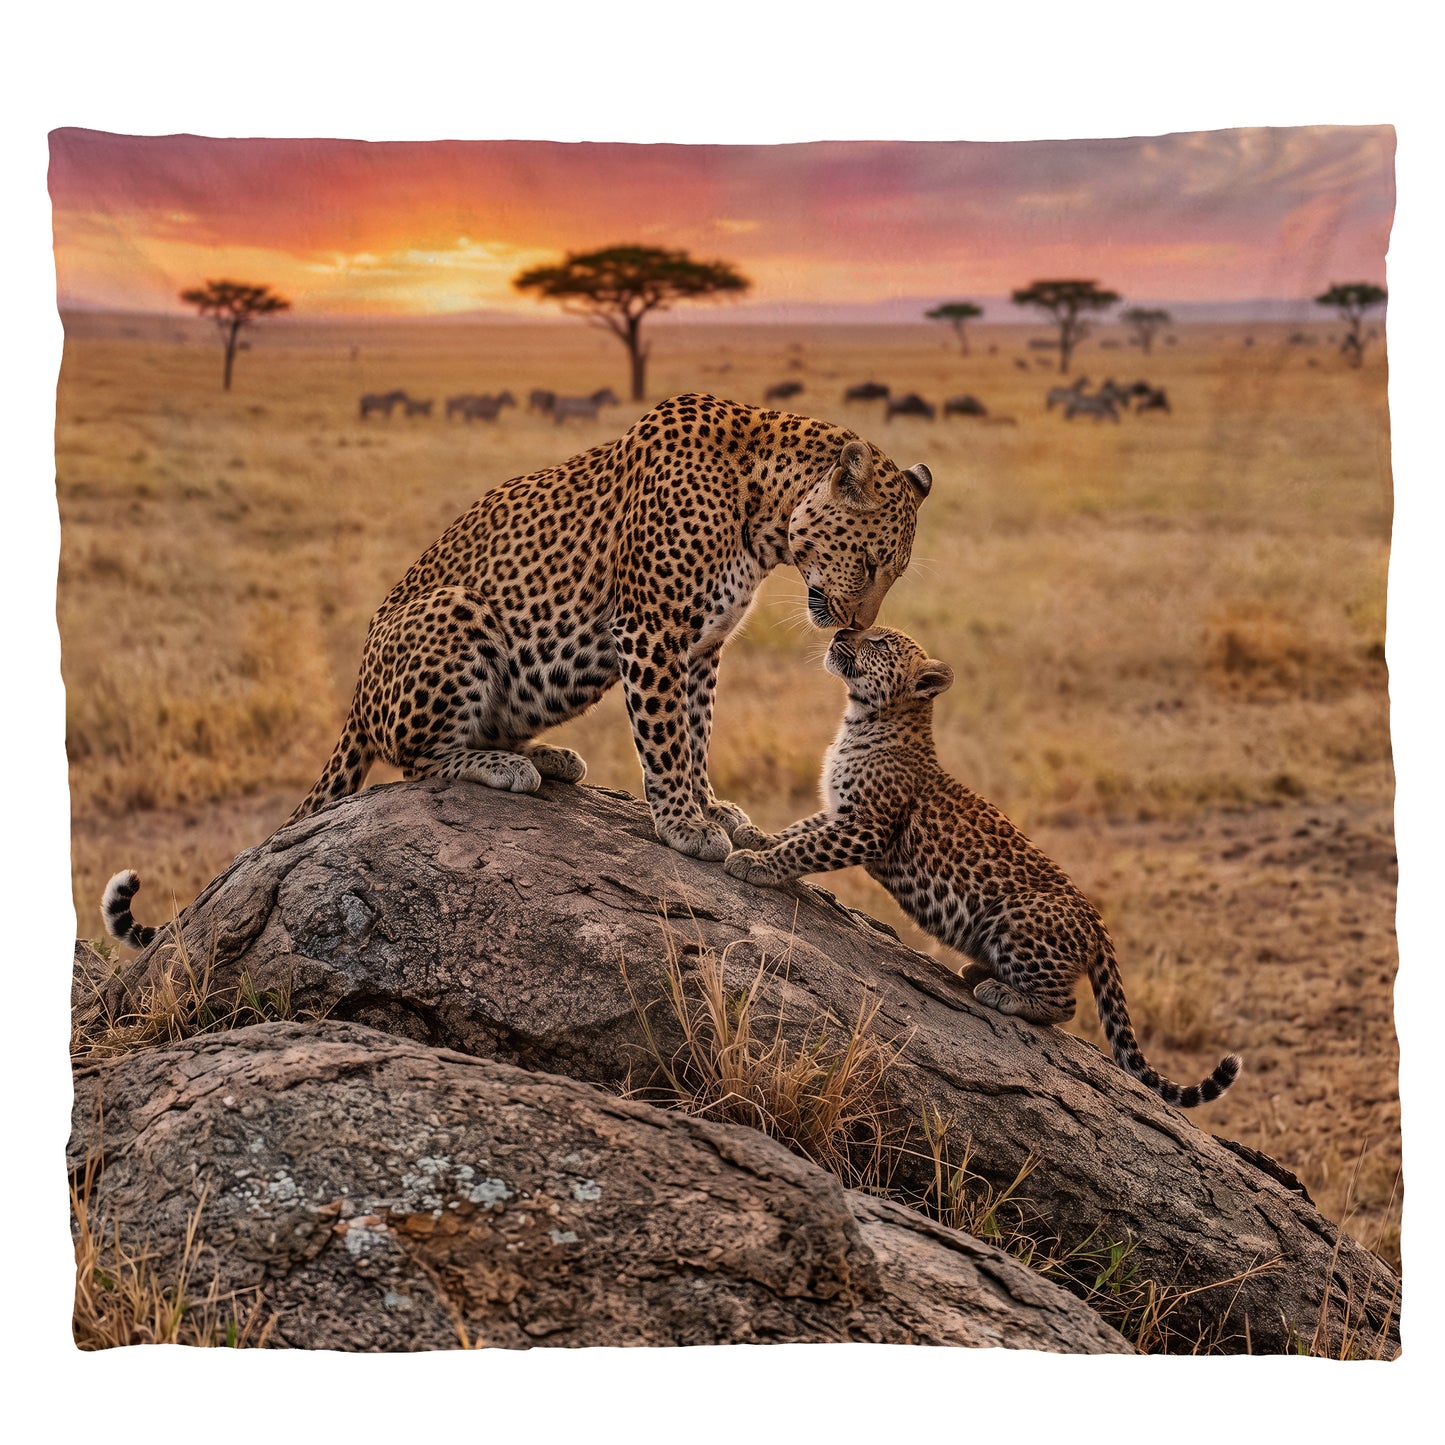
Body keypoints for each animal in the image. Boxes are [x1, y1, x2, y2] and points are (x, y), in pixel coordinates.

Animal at [101, 393, 933, 950]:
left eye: (894, 572)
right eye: (869, 562)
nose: (855, 626)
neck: (762, 512)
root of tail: (355, 699)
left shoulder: (700, 646)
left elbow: (694, 735)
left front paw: (711, 809)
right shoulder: (652, 628)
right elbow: (664, 737)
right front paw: (683, 825)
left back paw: (548, 755)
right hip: (456, 612)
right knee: (417, 759)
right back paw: (502, 767)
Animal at [723, 626, 1242, 1108]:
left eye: (880, 641)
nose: (839, 634)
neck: (861, 720)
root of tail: (1097, 924)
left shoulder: (867, 828)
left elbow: (804, 848)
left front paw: (754, 863)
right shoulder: (836, 815)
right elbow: (797, 831)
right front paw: (751, 835)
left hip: (1017, 917)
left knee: (1066, 1005)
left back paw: (1002, 992)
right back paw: (979, 972)